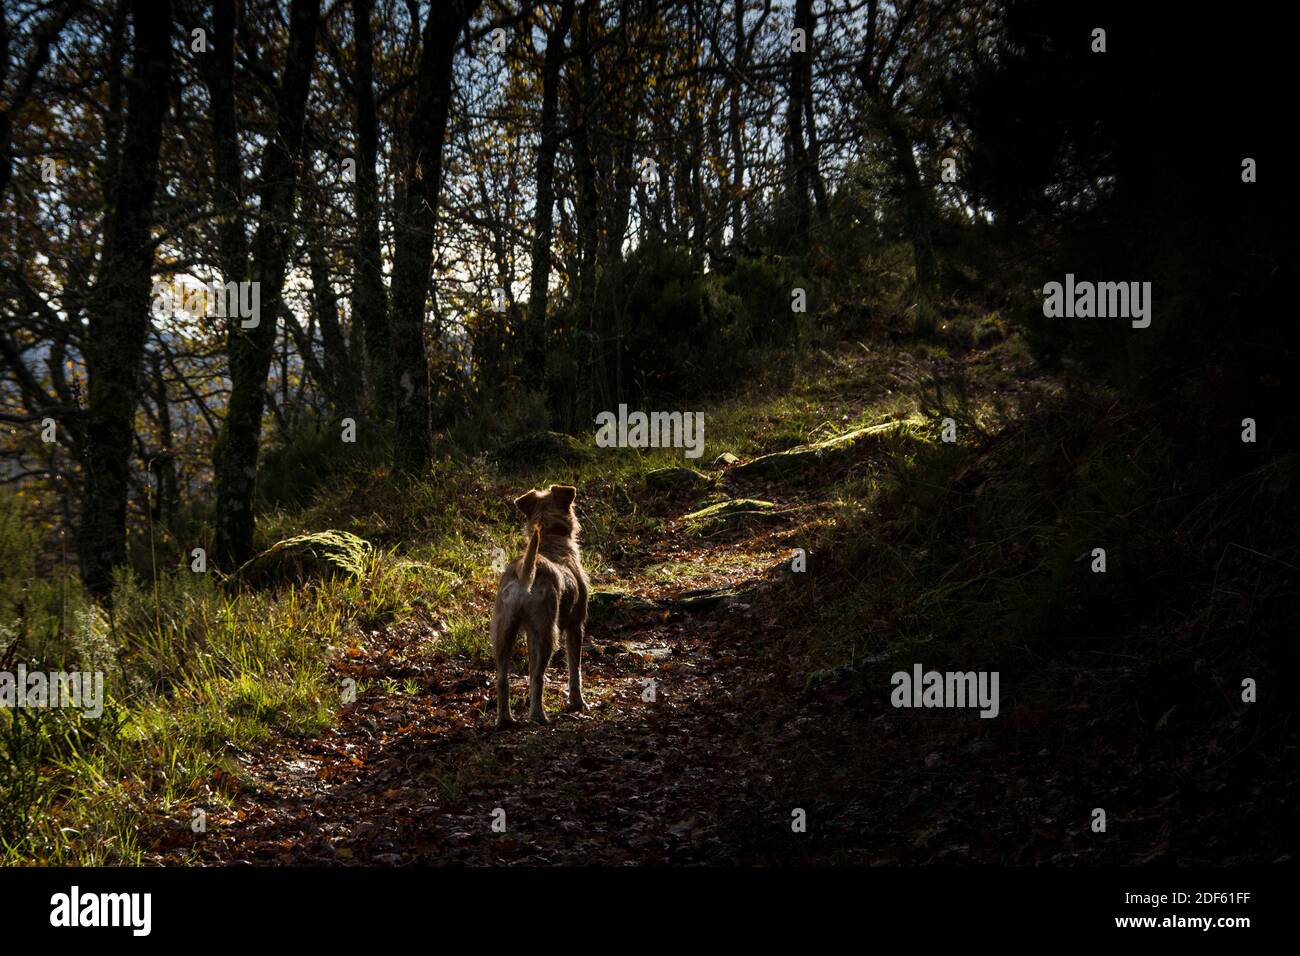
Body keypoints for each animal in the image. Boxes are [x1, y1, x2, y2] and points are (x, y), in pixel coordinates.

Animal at [488, 486, 590, 723]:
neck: (550, 538)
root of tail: (526, 571)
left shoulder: (529, 632)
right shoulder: (575, 626)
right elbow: (575, 668)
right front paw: (578, 702)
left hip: (503, 631)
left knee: (502, 678)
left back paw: (505, 719)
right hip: (547, 633)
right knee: (538, 676)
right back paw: (538, 715)